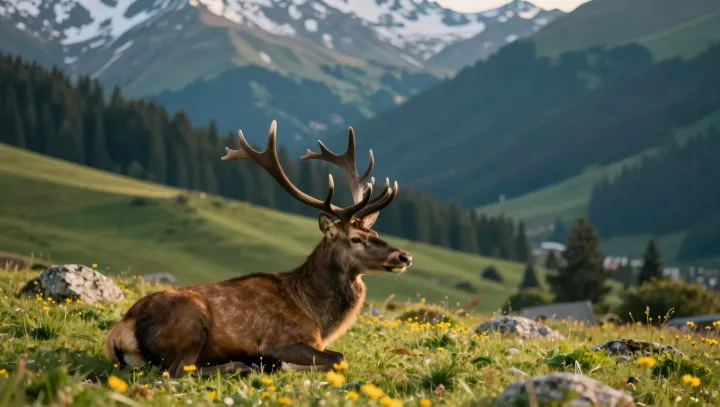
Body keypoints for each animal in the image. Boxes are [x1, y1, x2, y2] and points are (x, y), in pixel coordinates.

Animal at [104, 120, 413, 378]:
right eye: (355, 239)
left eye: (374, 232)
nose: (404, 256)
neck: (317, 318)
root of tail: (120, 331)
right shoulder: (279, 340)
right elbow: (339, 358)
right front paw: (279, 365)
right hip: (192, 318)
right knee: (178, 371)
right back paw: (244, 366)